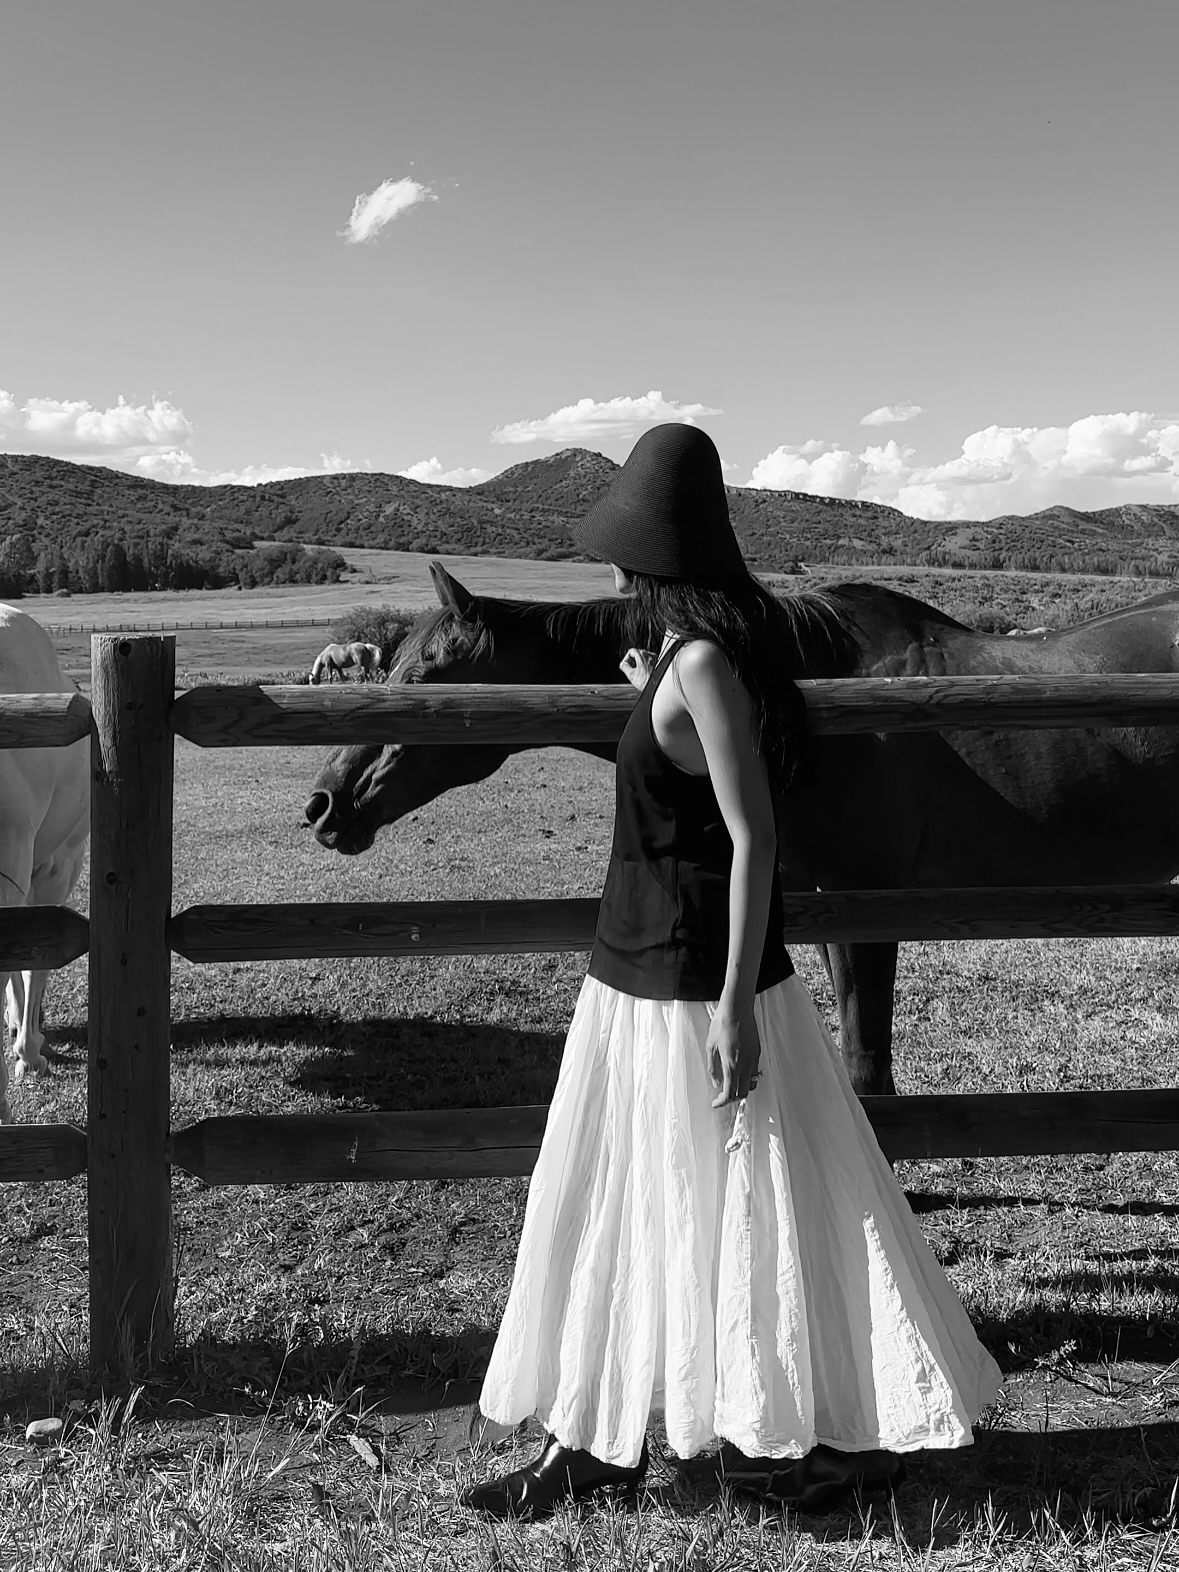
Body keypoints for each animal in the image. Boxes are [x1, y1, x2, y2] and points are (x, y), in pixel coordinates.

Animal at [303, 561, 1179, 1098]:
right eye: (386, 667)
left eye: (421, 676)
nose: (324, 804)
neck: (807, 693)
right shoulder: (825, 905)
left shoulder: (868, 907)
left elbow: (867, 1062)